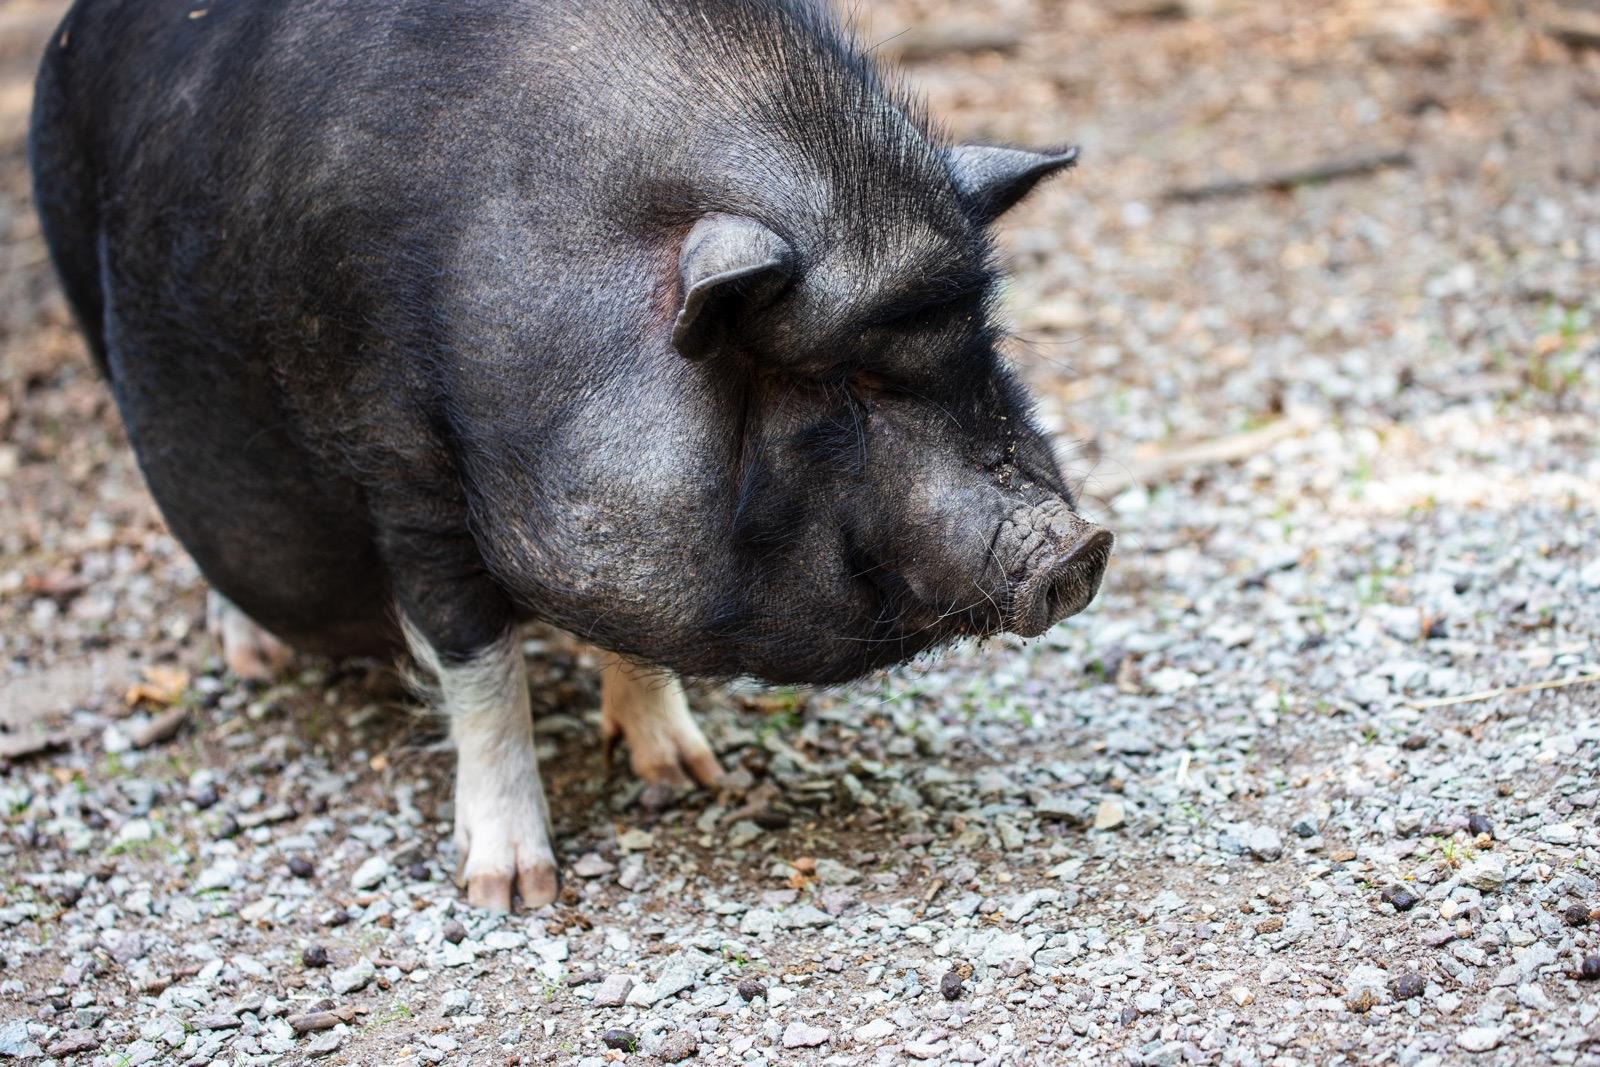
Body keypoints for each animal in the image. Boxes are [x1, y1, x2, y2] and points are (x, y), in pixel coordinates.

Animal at [34, 0, 1113, 908]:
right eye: (841, 384)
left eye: (982, 343)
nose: (1079, 543)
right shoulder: (401, 466)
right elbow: (478, 664)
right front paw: (512, 892)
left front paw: (690, 775)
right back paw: (253, 657)